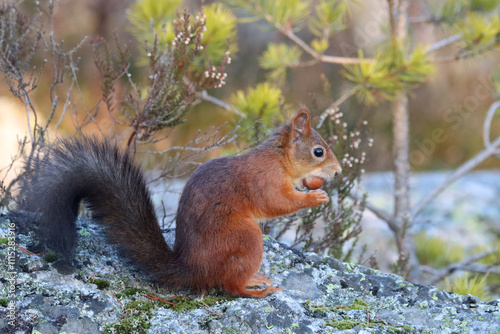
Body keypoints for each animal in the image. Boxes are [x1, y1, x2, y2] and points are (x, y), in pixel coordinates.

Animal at [18, 107, 340, 298]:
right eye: (319, 151)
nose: (337, 172)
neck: (278, 156)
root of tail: (192, 269)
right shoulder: (265, 180)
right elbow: (277, 203)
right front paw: (315, 196)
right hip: (246, 237)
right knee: (229, 286)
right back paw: (254, 290)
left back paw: (254, 279)